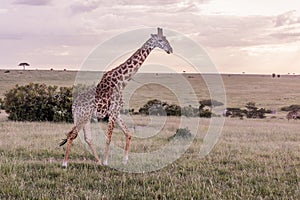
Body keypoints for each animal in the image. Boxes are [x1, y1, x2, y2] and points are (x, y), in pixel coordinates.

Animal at [59, 27, 172, 167]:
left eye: (167, 39)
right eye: (161, 40)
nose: (170, 50)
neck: (121, 81)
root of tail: (74, 105)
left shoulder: (117, 112)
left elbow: (128, 133)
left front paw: (124, 160)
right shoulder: (112, 112)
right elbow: (109, 138)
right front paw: (106, 162)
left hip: (85, 118)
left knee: (87, 138)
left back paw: (97, 162)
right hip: (82, 117)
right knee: (72, 135)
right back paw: (65, 163)